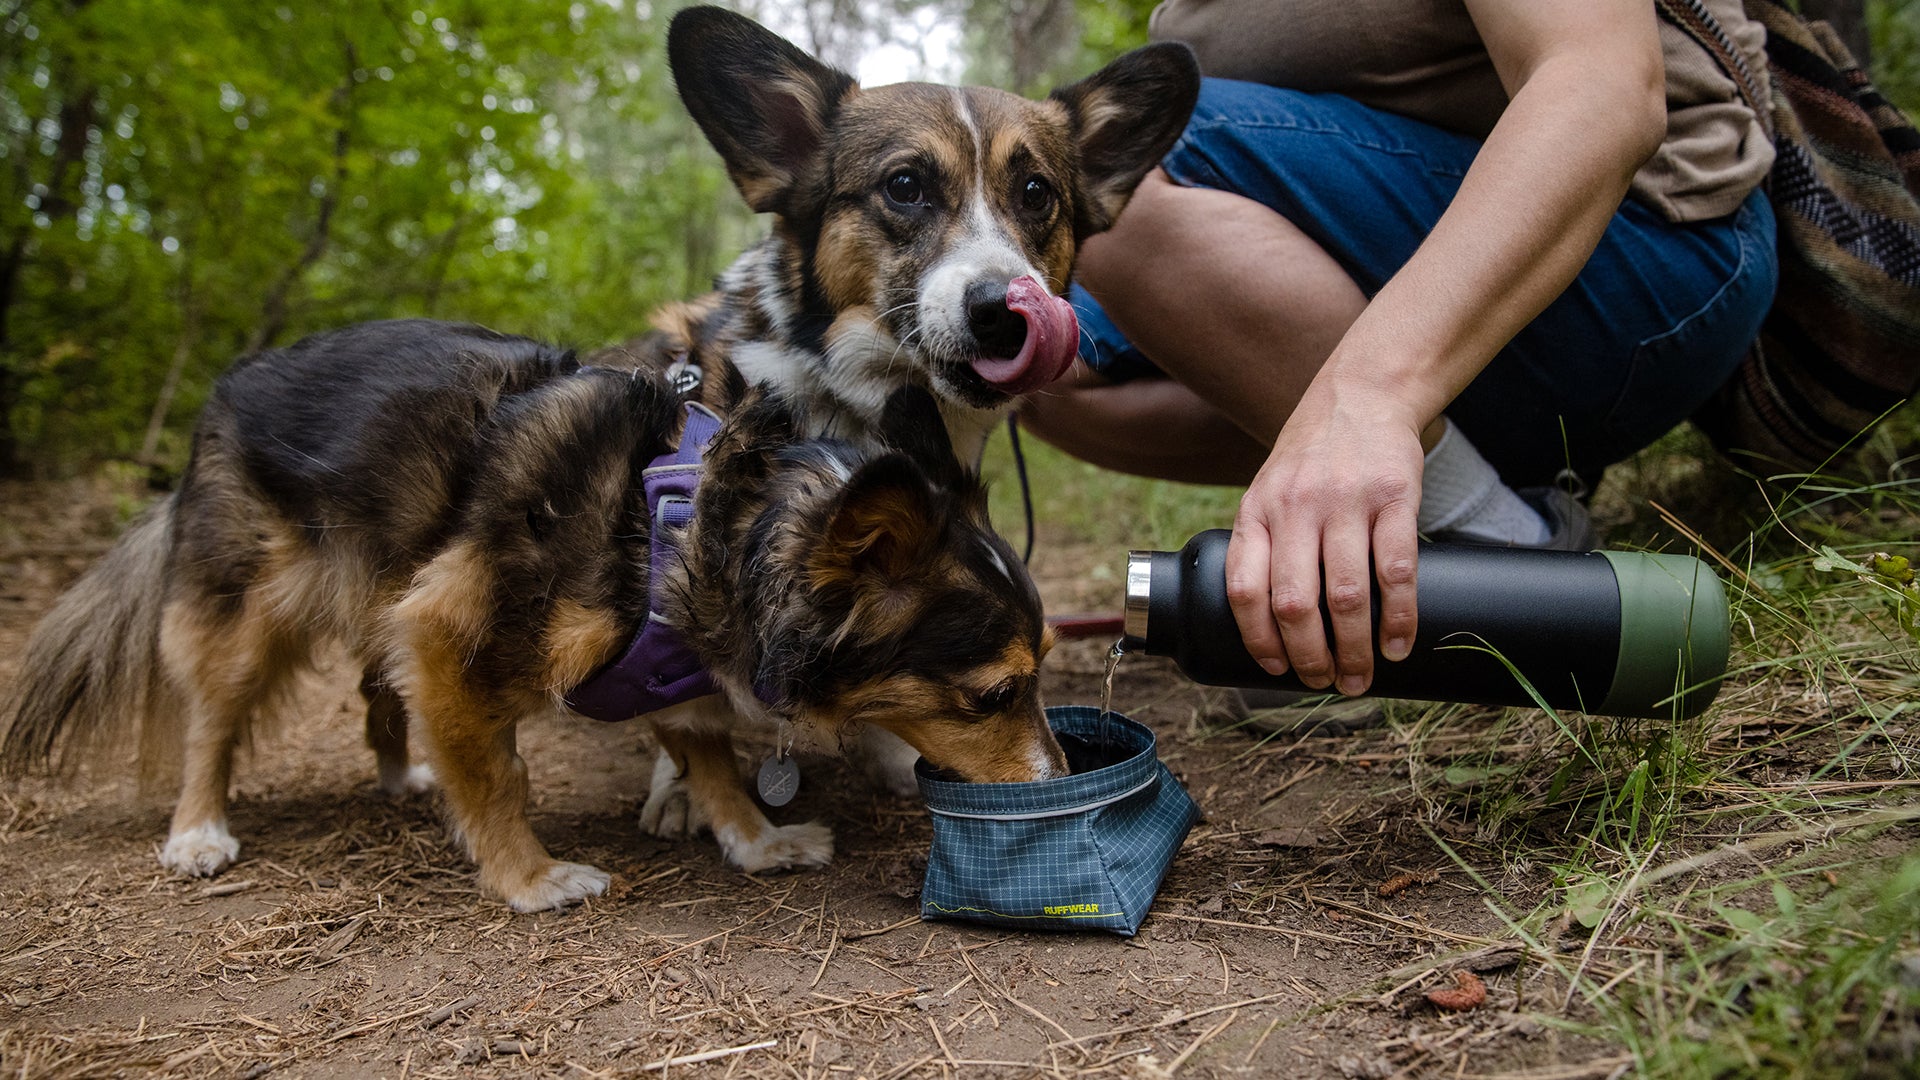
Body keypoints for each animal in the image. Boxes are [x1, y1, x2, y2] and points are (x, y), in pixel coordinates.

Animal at [0, 319, 1067, 907]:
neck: (699, 520)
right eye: (993, 696)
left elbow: (715, 766)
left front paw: (757, 845)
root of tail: (234, 378)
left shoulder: (669, 667)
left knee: (379, 693)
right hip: (246, 612)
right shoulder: (449, 627)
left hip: (381, 589)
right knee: (213, 724)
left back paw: (405, 773)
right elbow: (502, 777)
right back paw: (198, 830)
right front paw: (528, 880)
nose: (1061, 782)